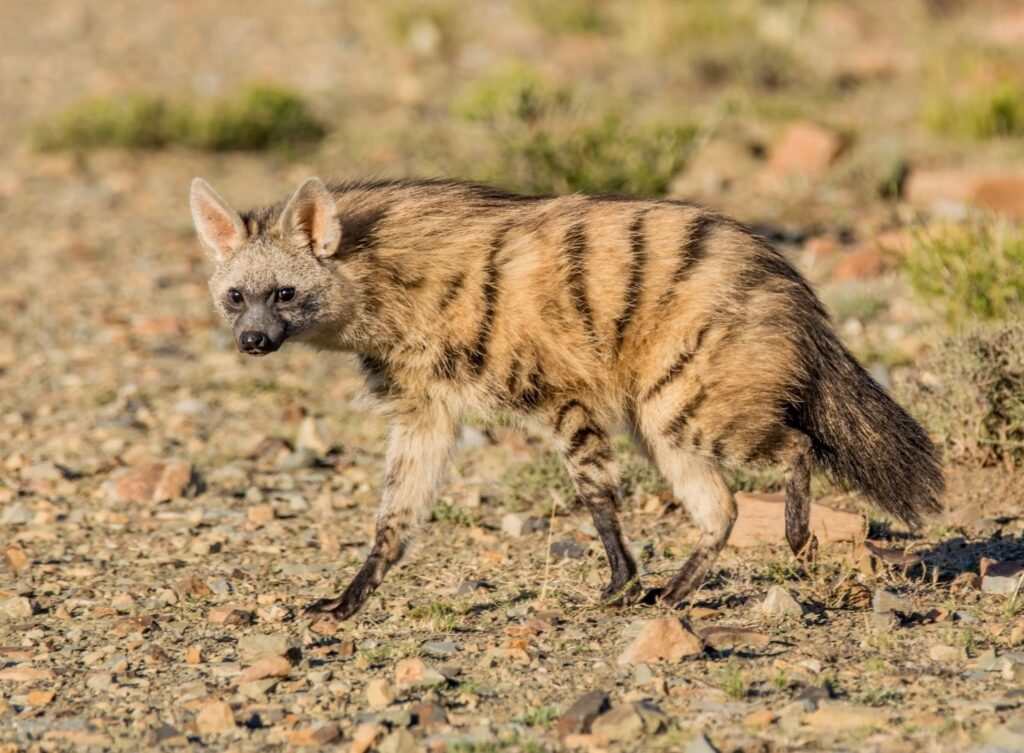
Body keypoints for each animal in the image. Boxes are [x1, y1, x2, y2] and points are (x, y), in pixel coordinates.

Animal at [189, 175, 943, 621]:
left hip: (685, 400)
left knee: (795, 442)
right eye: (235, 295)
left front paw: (617, 584)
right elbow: (395, 516)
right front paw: (344, 601)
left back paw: (790, 535)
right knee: (722, 507)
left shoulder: (559, 390)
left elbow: (595, 494)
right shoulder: (424, 409)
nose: (253, 340)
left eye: (285, 292)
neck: (388, 293)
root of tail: (791, 284)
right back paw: (674, 592)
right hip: (662, 415)